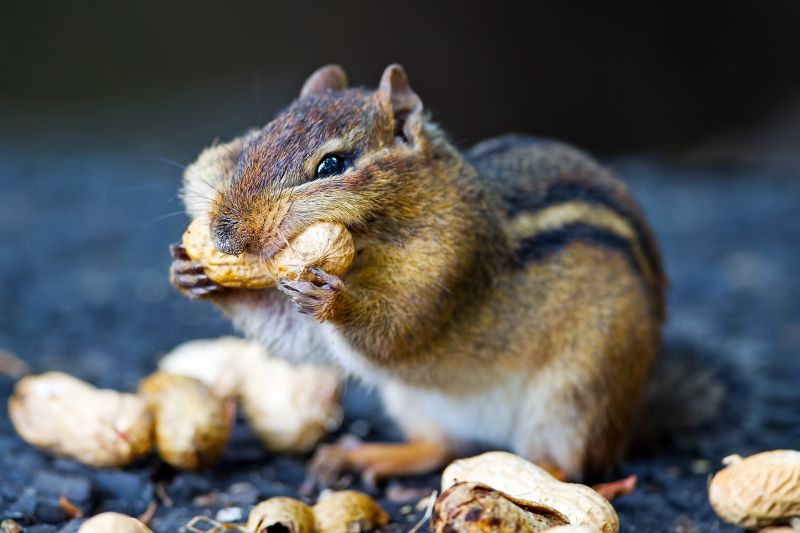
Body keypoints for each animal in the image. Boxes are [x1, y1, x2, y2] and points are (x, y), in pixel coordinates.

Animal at [170, 64, 666, 483]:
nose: (223, 235)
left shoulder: (451, 265)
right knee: (440, 447)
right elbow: (301, 338)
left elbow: (398, 332)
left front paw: (333, 300)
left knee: (572, 466)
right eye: (253, 144)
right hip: (413, 402)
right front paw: (193, 274)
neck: (369, 245)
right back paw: (368, 457)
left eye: (331, 165)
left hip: (579, 393)